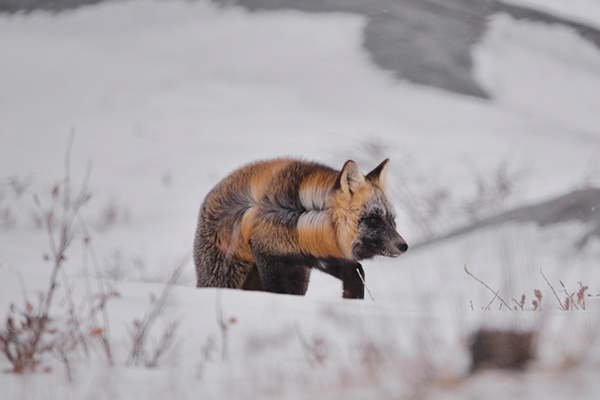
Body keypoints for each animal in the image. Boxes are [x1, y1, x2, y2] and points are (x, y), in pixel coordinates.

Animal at [192, 158, 408, 298]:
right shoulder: (267, 256)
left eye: (393, 221)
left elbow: (357, 273)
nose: (404, 246)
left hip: (299, 279)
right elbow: (277, 292)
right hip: (223, 277)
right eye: (374, 220)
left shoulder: (317, 257)